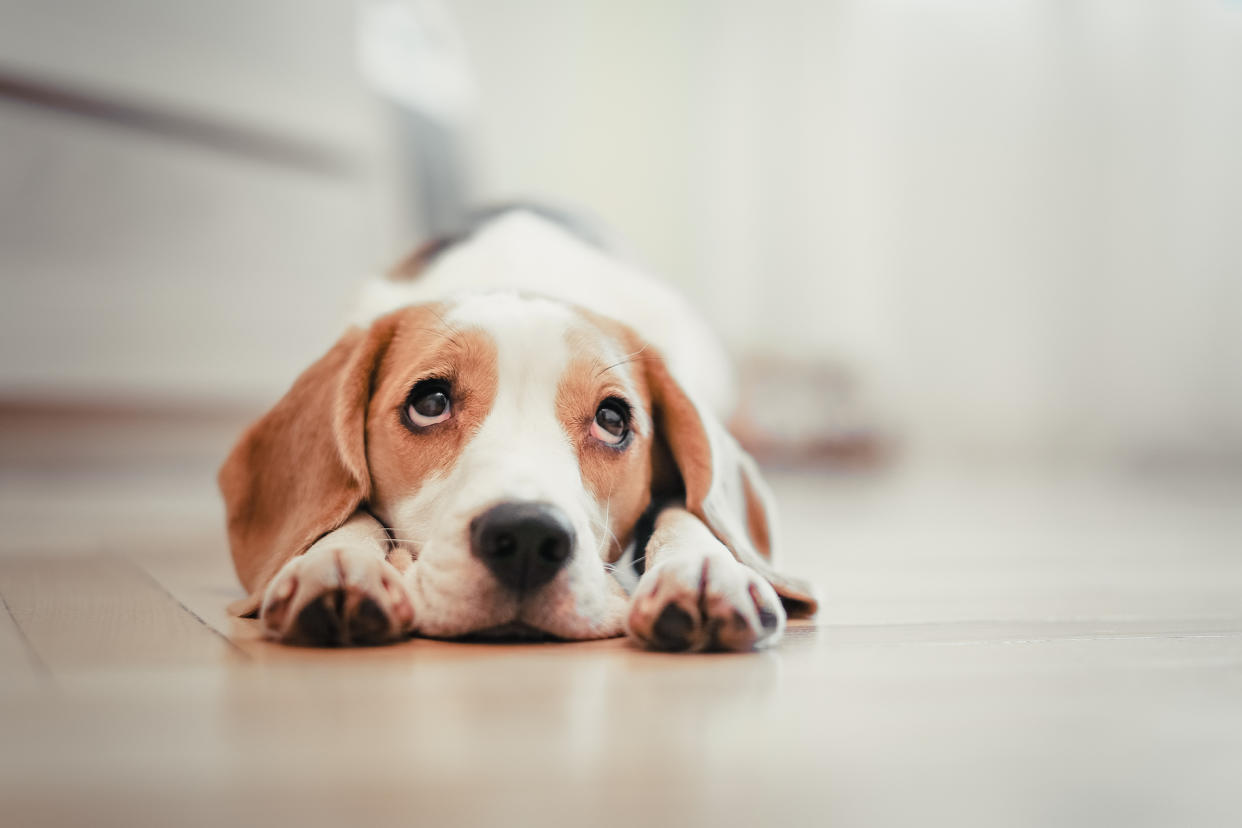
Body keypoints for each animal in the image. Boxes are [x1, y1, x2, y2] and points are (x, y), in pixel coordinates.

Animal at [218, 206, 819, 645]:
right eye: (430, 402)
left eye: (612, 419)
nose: (529, 537)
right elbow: (350, 511)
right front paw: (337, 561)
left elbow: (689, 511)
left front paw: (704, 569)